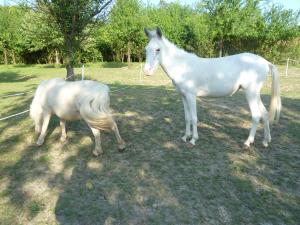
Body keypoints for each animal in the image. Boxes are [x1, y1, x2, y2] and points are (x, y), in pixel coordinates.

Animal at [144, 27, 282, 148]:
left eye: (158, 49)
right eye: (146, 49)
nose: (146, 71)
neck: (183, 67)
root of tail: (265, 62)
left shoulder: (191, 96)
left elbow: (194, 118)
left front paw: (193, 139)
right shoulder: (183, 96)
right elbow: (187, 117)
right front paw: (185, 137)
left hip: (251, 93)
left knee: (256, 116)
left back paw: (248, 142)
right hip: (255, 94)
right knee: (265, 114)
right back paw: (266, 141)